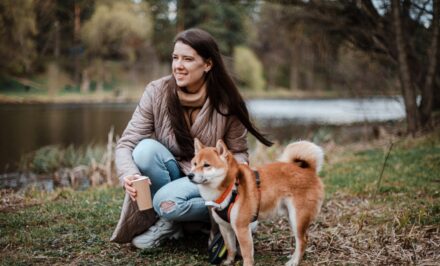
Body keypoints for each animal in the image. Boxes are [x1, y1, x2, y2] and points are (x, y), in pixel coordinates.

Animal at [187, 139, 324, 266]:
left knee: (302, 240)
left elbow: (246, 253)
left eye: (206, 165)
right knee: (301, 238)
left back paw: (294, 261)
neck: (230, 188)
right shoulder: (225, 227)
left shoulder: (241, 227)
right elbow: (230, 248)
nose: (189, 175)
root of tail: (309, 170)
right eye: (194, 164)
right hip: (291, 217)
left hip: (297, 218)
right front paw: (228, 261)